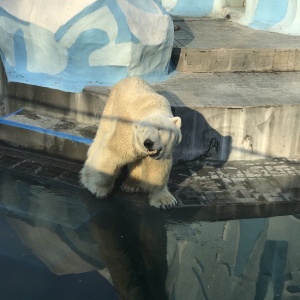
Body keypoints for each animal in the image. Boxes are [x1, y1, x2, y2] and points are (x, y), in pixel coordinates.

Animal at [79, 77, 182, 209]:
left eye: (160, 129)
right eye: (143, 131)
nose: (148, 143)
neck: (153, 107)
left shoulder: (162, 152)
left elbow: (158, 168)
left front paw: (165, 201)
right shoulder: (127, 132)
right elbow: (111, 154)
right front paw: (98, 190)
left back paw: (131, 185)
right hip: (110, 110)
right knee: (101, 139)